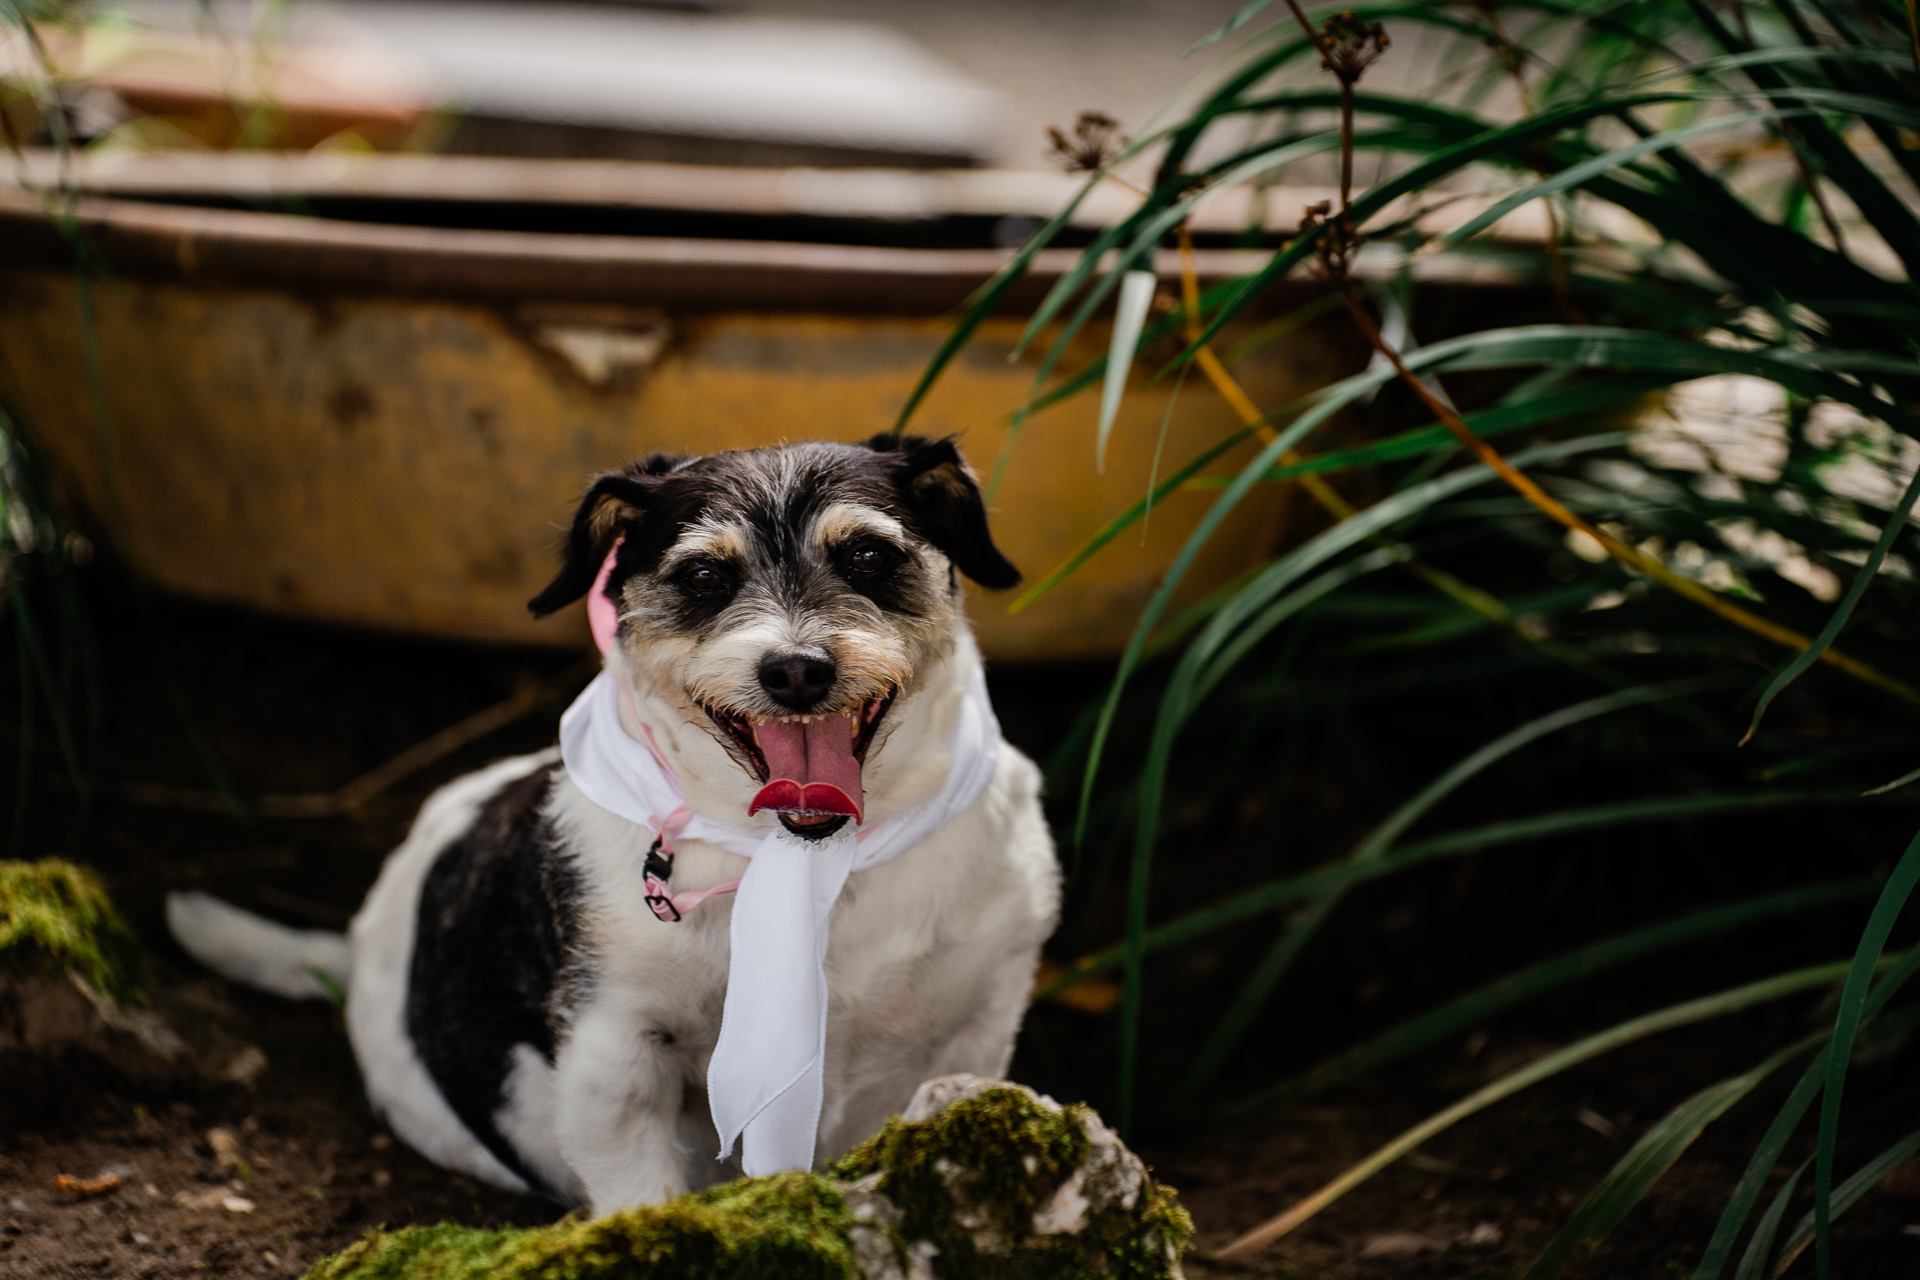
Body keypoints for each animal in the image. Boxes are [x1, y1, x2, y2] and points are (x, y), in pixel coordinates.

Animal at [167, 435, 1059, 1220]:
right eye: (703, 575)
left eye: (869, 557)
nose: (798, 670)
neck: (809, 862)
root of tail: (361, 944)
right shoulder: (615, 1052)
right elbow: (641, 1192)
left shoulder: (976, 1030)